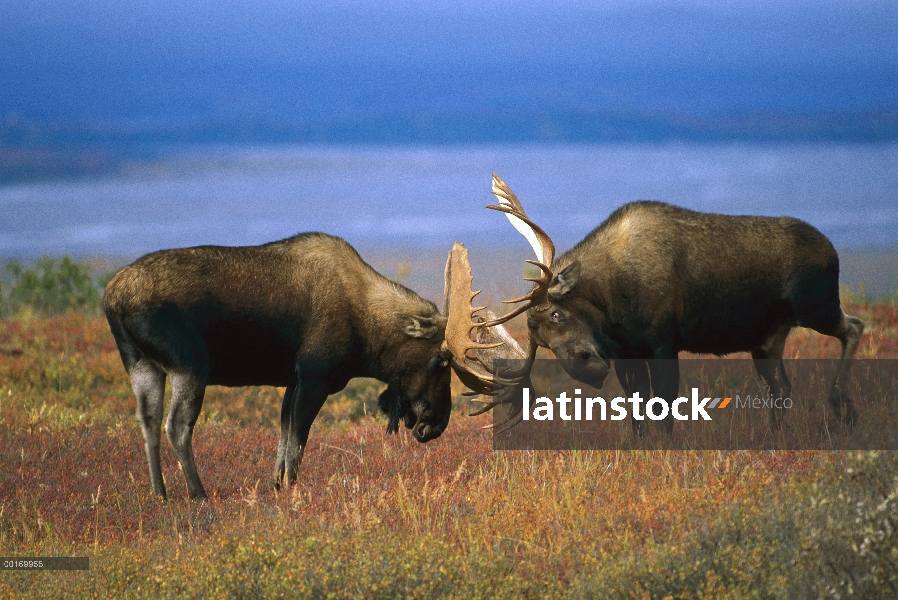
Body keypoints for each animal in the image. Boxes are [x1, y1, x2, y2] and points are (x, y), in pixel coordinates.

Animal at [102, 232, 516, 500]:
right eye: (441, 359)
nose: (436, 424)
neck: (368, 336)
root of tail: (112, 298)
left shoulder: (292, 381)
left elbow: (283, 439)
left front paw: (276, 486)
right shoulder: (315, 377)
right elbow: (297, 442)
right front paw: (291, 490)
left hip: (142, 365)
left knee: (148, 422)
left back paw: (160, 494)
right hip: (191, 366)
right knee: (176, 426)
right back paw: (198, 493)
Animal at [480, 173, 864, 432]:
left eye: (558, 314)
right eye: (541, 342)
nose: (586, 369)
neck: (609, 299)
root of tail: (832, 250)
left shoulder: (664, 343)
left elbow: (663, 410)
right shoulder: (628, 354)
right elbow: (638, 414)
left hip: (816, 307)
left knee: (854, 327)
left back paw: (842, 404)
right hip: (767, 340)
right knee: (781, 387)